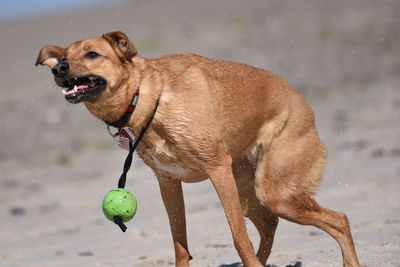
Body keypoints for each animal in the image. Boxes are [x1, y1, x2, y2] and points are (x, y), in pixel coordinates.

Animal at [35, 31, 360, 267]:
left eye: (92, 54)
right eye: (64, 57)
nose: (60, 67)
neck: (149, 99)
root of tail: (305, 105)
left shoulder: (217, 169)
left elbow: (238, 237)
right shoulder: (168, 183)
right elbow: (179, 243)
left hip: (273, 191)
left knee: (339, 220)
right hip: (248, 191)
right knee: (270, 224)